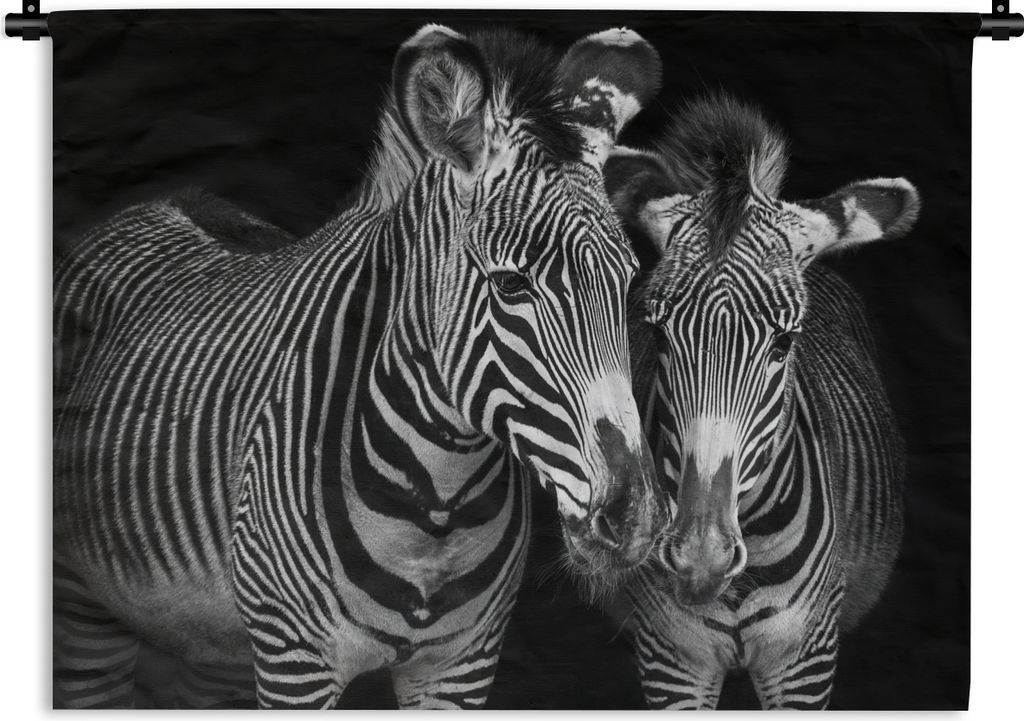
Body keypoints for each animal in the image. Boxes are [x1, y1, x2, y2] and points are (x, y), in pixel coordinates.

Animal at [53, 26, 668, 709]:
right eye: (510, 285)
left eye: (626, 284)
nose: (635, 518)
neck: (435, 509)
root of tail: (159, 202)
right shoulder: (294, 661)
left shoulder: (462, 664)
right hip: (82, 607)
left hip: (213, 641)